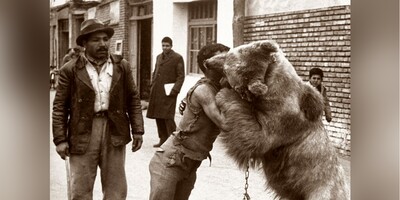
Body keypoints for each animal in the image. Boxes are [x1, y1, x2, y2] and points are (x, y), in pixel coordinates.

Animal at [209, 39, 350, 199]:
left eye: (226, 67)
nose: (208, 62)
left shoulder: (284, 120)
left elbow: (256, 138)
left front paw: (225, 94)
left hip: (321, 190)